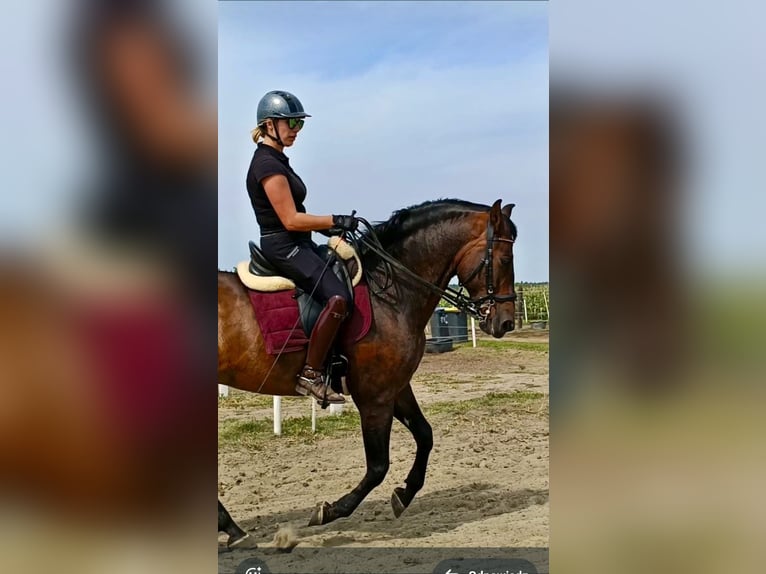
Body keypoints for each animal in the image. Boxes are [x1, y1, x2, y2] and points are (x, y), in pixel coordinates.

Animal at [217, 198, 518, 537]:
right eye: (505, 258)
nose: (506, 322)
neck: (391, 293)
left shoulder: (395, 387)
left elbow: (425, 435)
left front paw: (404, 494)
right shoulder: (375, 396)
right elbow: (378, 466)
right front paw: (331, 510)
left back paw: (231, 529)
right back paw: (231, 529)